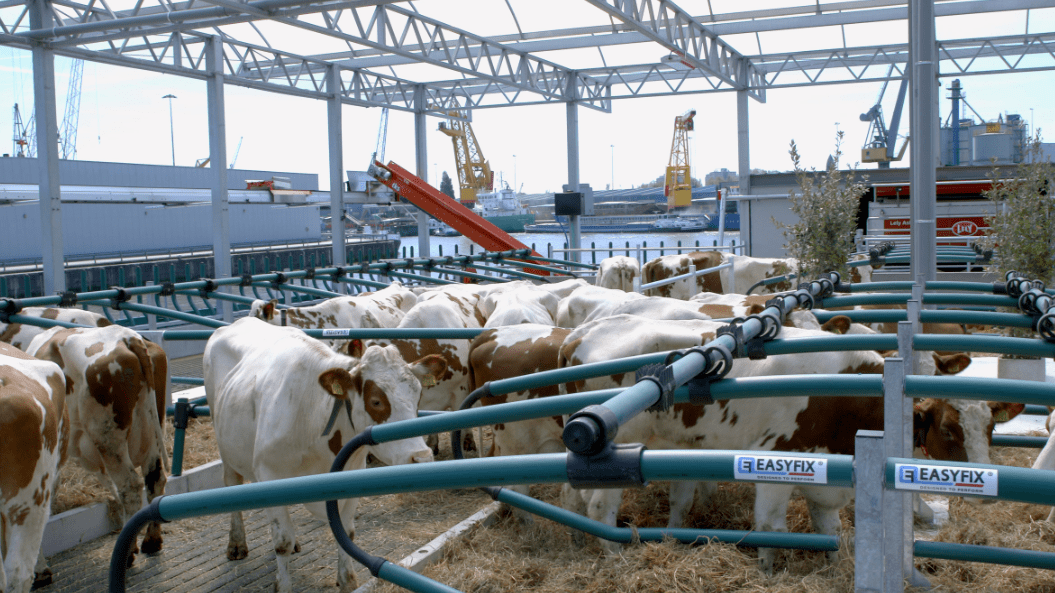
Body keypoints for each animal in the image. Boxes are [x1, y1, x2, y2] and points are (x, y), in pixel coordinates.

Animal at [25, 324, 166, 565]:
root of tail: (127, 337)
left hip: (108, 439)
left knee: (131, 486)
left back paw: (128, 551)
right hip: (152, 433)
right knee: (154, 481)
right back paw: (151, 540)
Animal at [203, 316, 443, 590]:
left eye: (418, 394)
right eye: (376, 401)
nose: (421, 457)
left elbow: (345, 533)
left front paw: (348, 582)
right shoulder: (268, 473)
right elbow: (281, 542)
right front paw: (283, 586)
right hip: (224, 445)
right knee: (231, 483)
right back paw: (236, 543)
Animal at [557, 314, 1000, 569]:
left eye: (991, 425)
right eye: (949, 430)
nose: (984, 488)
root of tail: (581, 332)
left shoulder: (829, 477)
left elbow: (830, 529)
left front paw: (833, 568)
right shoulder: (777, 458)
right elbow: (771, 526)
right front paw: (769, 570)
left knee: (573, 497)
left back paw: (582, 543)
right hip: (617, 454)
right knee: (599, 506)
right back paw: (615, 560)